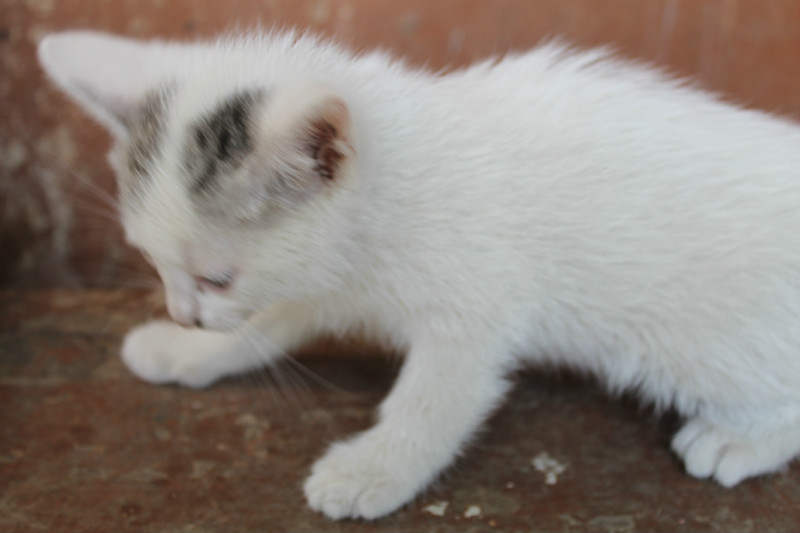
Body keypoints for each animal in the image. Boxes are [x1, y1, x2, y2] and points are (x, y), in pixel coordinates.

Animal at [38, 29, 800, 520]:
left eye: (217, 278)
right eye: (153, 264)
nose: (185, 313)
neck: (385, 210)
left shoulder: (475, 313)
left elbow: (434, 402)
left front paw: (372, 469)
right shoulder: (319, 278)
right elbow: (272, 319)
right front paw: (188, 349)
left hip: (701, 344)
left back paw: (738, 438)